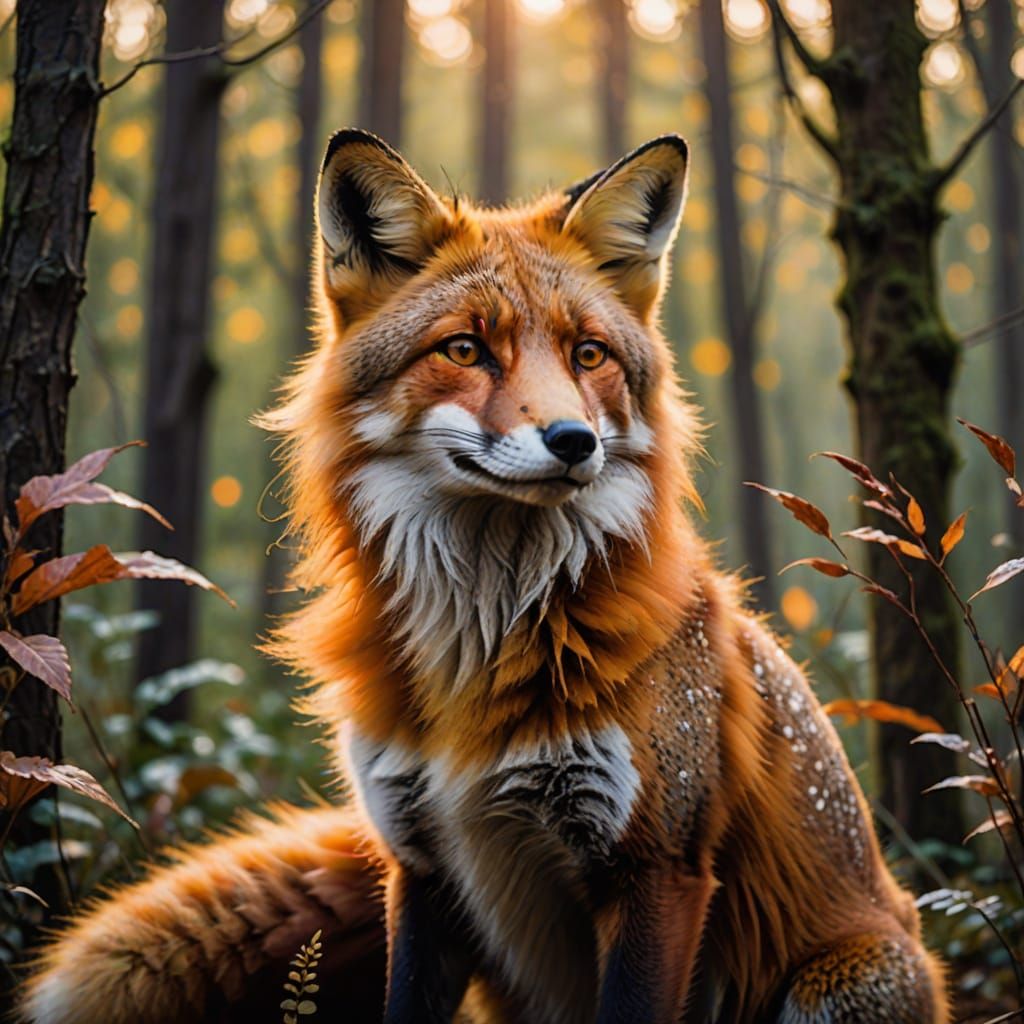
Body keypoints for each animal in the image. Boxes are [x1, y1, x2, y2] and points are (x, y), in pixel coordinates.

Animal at [16, 129, 948, 1024]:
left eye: (588, 354)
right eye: (465, 349)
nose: (574, 440)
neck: (482, 644)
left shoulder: (658, 866)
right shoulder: (421, 860)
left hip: (841, 983)